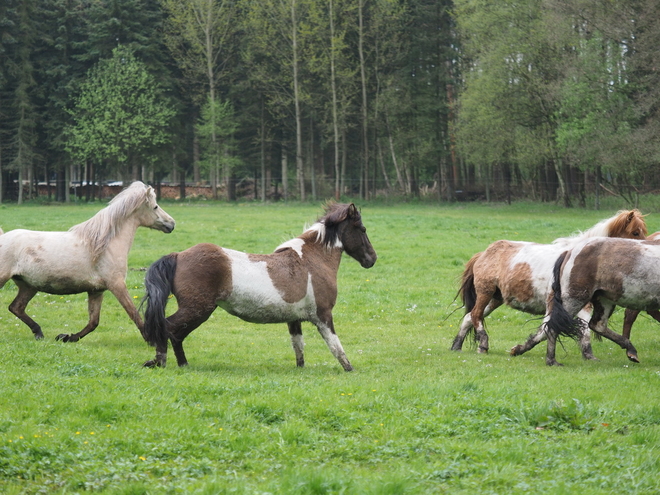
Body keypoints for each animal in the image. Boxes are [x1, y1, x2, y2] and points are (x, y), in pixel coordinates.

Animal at [0, 183, 175, 344]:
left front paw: (67, 337)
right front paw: (151, 339)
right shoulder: (116, 284)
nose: (172, 224)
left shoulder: (96, 290)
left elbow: (93, 322)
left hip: (28, 286)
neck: (105, 245)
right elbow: (133, 312)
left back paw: (38, 332)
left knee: (16, 307)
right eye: (155, 206)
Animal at [139, 202, 376, 372]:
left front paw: (301, 369)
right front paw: (349, 368)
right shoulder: (323, 315)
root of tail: (178, 255)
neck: (311, 260)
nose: (372, 259)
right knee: (168, 327)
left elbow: (298, 347)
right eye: (363, 228)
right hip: (197, 309)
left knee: (175, 334)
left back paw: (182, 364)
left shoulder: (294, 319)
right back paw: (161, 362)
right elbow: (335, 345)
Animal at [452, 209, 648, 356]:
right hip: (485, 292)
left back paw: (457, 346)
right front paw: (589, 354)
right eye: (635, 232)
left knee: (469, 317)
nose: (646, 252)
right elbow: (582, 328)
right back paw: (482, 345)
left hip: (495, 298)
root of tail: (483, 253)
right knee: (475, 315)